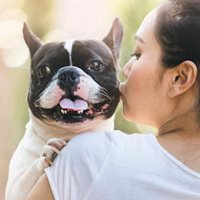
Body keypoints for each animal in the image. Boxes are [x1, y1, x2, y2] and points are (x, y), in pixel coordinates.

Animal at [5, 17, 123, 200]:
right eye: (43, 69)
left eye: (96, 65)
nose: (68, 73)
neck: (68, 133)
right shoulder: (15, 188)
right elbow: (27, 176)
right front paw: (47, 152)